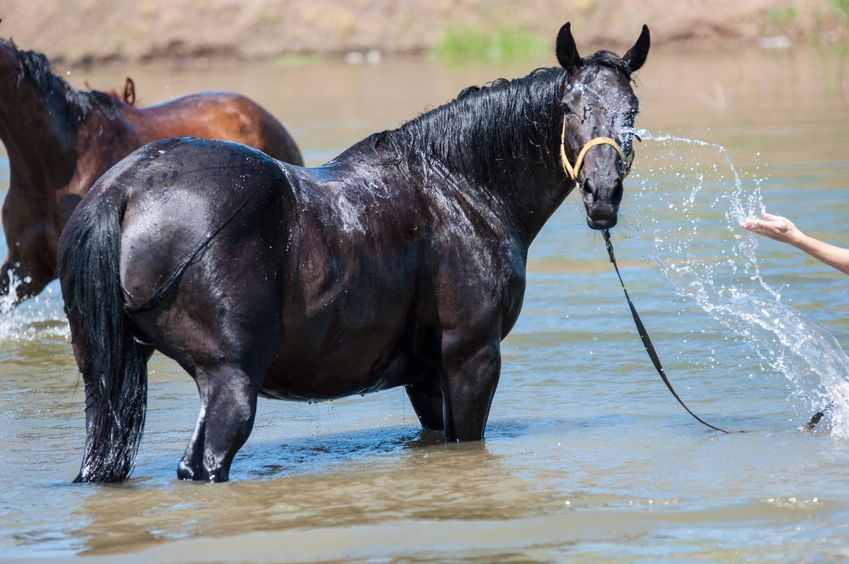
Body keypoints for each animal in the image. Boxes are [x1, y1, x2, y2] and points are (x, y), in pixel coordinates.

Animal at [59, 22, 650, 483]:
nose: (602, 194)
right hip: (230, 382)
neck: (460, 187)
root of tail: (126, 186)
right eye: (569, 106)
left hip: (107, 384)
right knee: (204, 464)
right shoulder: (471, 358)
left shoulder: (425, 374)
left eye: (632, 109)